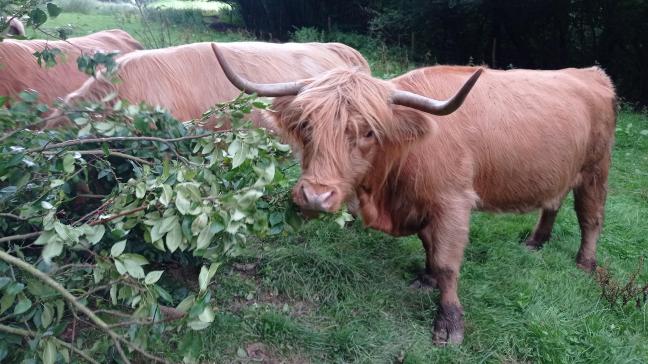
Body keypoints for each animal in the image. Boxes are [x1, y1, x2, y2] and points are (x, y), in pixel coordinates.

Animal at [214, 42, 616, 344]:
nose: (315, 196)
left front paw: (449, 324)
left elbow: (447, 262)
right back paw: (536, 241)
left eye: (367, 132)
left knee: (591, 216)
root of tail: (590, 73)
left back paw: (585, 263)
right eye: (306, 126)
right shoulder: (424, 204)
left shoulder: (453, 203)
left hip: (596, 169)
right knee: (553, 202)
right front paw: (425, 278)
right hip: (561, 170)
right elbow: (429, 246)